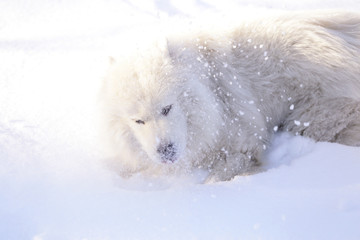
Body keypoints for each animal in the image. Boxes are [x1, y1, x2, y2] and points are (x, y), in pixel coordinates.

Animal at [99, 10, 360, 181]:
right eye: (138, 121)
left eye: (167, 108)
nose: (166, 152)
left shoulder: (240, 143)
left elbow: (220, 175)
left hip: (312, 119)